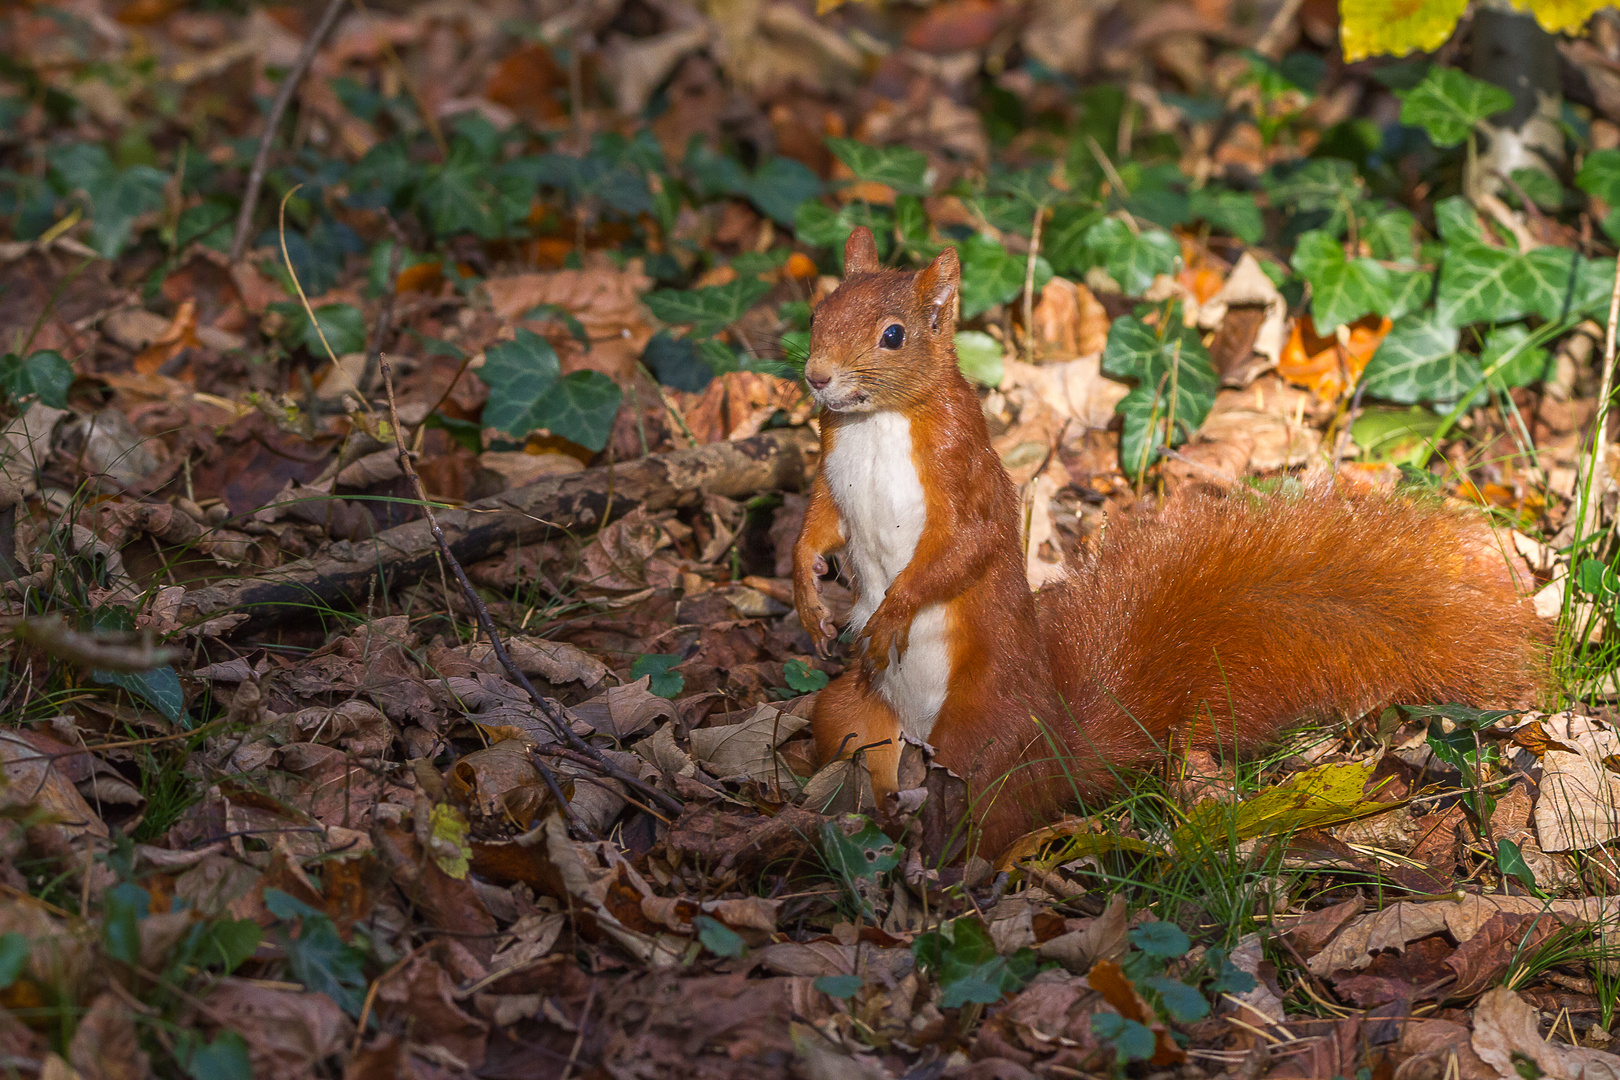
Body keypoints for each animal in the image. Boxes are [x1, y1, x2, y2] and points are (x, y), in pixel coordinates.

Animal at [790, 229, 1548, 861]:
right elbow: (819, 524)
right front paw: (808, 595)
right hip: (852, 712)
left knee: (994, 817)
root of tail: (1056, 746)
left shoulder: (962, 472)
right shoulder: (830, 465)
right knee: (854, 744)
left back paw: (953, 866)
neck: (877, 423)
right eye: (819, 311)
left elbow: (962, 550)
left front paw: (890, 612)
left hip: (980, 737)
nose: (817, 376)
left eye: (893, 335)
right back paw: (867, 816)